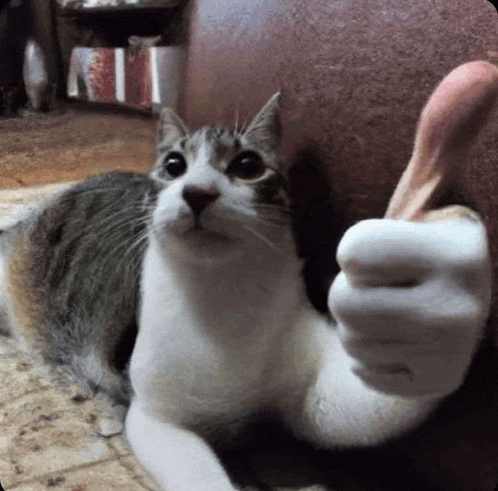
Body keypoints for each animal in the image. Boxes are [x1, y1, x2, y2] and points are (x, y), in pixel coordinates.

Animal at [0, 79, 490, 490]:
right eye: (174, 166)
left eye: (247, 165)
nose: (197, 192)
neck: (224, 293)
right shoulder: (154, 414)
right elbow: (197, 474)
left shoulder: (308, 384)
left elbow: (349, 406)